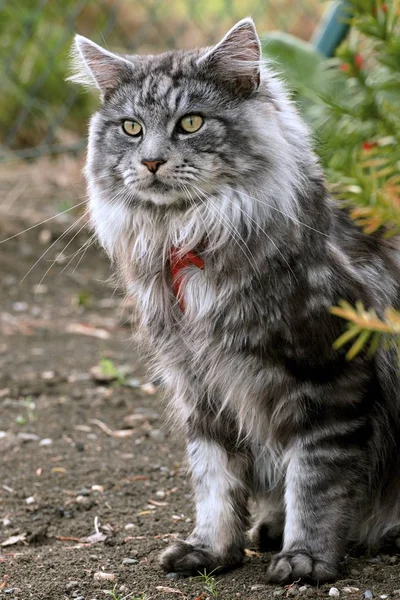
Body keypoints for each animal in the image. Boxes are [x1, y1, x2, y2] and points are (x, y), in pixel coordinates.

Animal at [69, 19, 400, 584]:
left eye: (191, 123)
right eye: (131, 128)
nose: (151, 161)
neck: (187, 236)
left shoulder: (330, 378)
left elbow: (316, 482)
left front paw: (306, 559)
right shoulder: (199, 387)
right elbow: (215, 483)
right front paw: (211, 551)